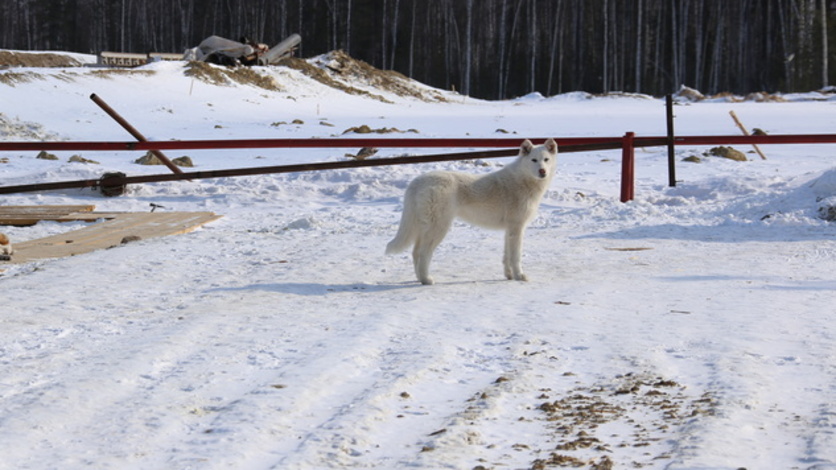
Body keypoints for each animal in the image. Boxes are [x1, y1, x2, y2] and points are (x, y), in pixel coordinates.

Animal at [386, 138, 556, 284]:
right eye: (534, 160)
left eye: (546, 160)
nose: (542, 171)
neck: (524, 180)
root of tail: (417, 182)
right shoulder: (517, 228)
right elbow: (516, 257)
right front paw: (520, 276)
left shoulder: (509, 230)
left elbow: (506, 257)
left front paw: (509, 275)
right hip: (439, 227)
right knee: (423, 253)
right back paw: (426, 279)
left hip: (425, 226)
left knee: (415, 252)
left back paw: (419, 278)